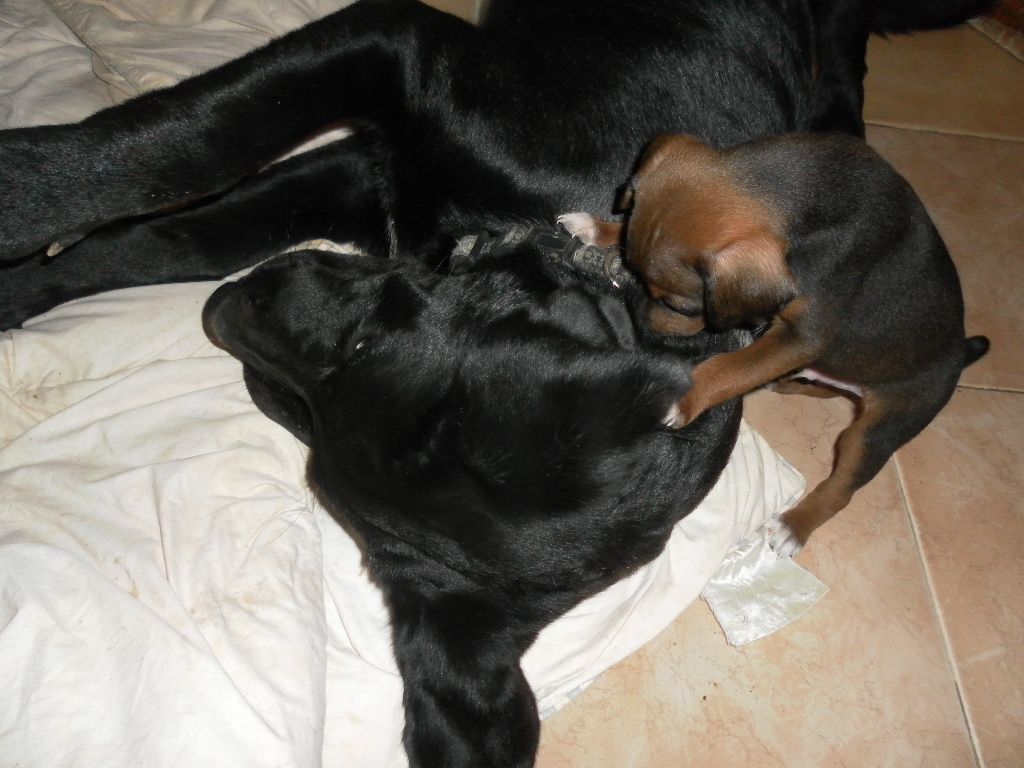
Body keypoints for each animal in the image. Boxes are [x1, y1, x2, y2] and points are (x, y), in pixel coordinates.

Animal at [560, 132, 989, 556]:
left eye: (676, 305)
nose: (645, 324)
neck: (809, 192)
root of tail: (960, 358)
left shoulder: (802, 336)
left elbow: (727, 369)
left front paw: (682, 398)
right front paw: (598, 228)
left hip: (881, 428)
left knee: (843, 486)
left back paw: (795, 526)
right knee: (825, 389)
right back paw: (789, 384)